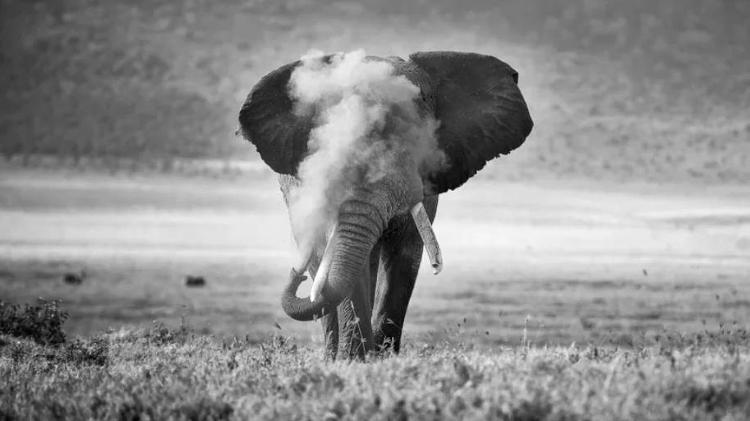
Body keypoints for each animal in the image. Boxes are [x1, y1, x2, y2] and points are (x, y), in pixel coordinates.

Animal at [238, 51, 533, 360]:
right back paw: (333, 354)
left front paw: (381, 357)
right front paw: (355, 359)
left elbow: (405, 256)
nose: (296, 277)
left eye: (416, 133)